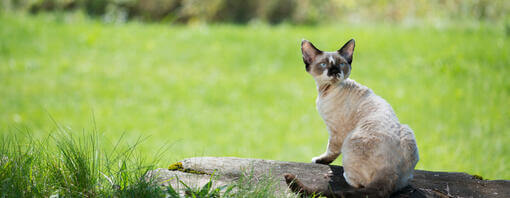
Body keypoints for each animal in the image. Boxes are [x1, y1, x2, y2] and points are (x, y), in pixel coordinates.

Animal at [284, 38, 420, 196]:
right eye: (323, 64)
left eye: (341, 64)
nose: (335, 71)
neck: (325, 91)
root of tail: (391, 171)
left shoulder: (335, 132)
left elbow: (330, 151)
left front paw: (319, 161)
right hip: (408, 131)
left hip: (350, 140)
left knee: (358, 183)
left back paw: (344, 175)